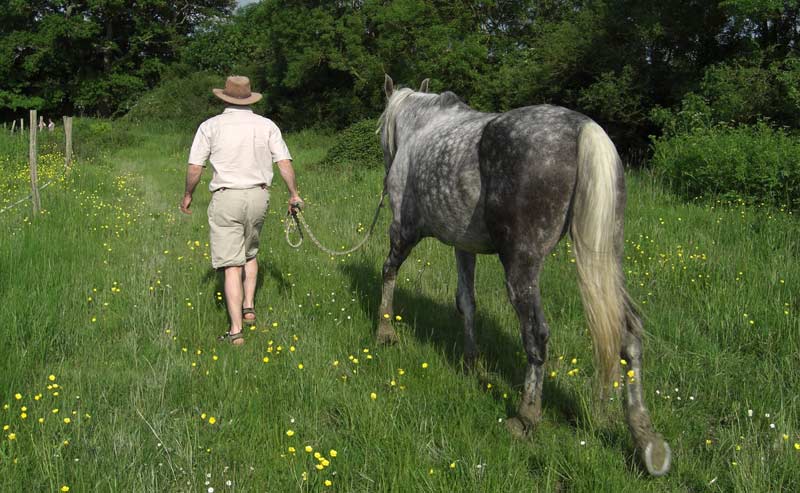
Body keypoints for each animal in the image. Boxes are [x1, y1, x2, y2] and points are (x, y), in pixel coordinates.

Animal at [375, 75, 671, 476]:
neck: (421, 128)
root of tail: (584, 129)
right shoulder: (463, 245)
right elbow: (466, 301)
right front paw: (471, 363)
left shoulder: (403, 229)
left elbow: (389, 271)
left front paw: (384, 331)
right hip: (607, 261)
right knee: (630, 332)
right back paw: (644, 437)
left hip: (521, 266)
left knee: (536, 334)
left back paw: (526, 416)